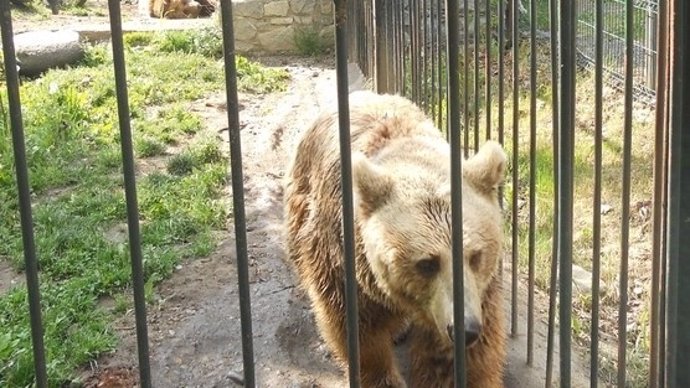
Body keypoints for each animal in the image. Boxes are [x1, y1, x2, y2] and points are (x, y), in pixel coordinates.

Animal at [282, 91, 508, 388]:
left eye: (475, 255)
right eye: (427, 263)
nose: (465, 329)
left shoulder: (479, 290)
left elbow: (456, 360)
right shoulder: (343, 257)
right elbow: (358, 330)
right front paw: (383, 377)